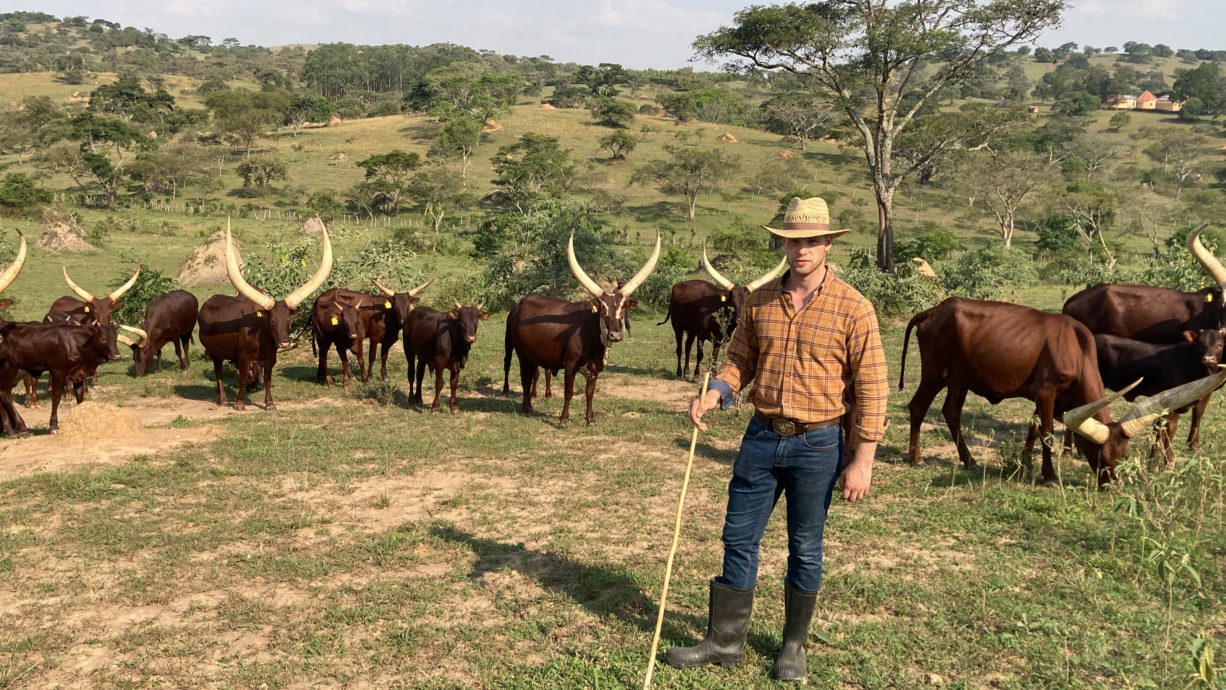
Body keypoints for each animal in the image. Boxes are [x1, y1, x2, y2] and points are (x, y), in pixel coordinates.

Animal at [197, 221, 333, 409]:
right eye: (272, 321)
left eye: (289, 321)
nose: (284, 343)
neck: (261, 338)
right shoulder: (243, 358)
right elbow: (241, 379)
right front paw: (239, 403)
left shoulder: (270, 359)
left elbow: (268, 379)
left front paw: (269, 403)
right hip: (213, 352)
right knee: (218, 372)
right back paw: (223, 398)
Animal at [500, 231, 662, 426]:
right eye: (603, 311)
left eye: (623, 308)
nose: (615, 335)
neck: (592, 336)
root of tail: (519, 305)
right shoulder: (570, 365)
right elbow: (568, 392)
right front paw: (564, 419)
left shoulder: (594, 368)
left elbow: (589, 393)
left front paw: (590, 419)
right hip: (520, 353)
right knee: (524, 377)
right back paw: (526, 408)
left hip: (532, 355)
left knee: (532, 375)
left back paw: (530, 405)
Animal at [662, 247, 784, 377]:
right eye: (732, 303)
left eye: (746, 302)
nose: (739, 320)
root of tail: (676, 286)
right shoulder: (701, 334)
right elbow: (700, 355)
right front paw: (697, 375)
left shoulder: (719, 338)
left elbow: (715, 355)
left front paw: (713, 373)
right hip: (677, 326)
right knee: (679, 348)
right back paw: (679, 371)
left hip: (691, 330)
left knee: (687, 346)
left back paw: (686, 372)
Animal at [892, 296, 1226, 485]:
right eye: (1099, 452)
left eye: (1123, 454)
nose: (1111, 484)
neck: (1075, 348)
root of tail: (934, 310)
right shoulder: (1047, 393)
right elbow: (1047, 433)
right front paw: (1049, 475)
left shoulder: (1051, 398)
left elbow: (1032, 429)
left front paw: (1024, 465)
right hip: (935, 374)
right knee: (918, 407)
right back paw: (916, 456)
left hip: (959, 380)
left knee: (951, 413)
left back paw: (969, 459)